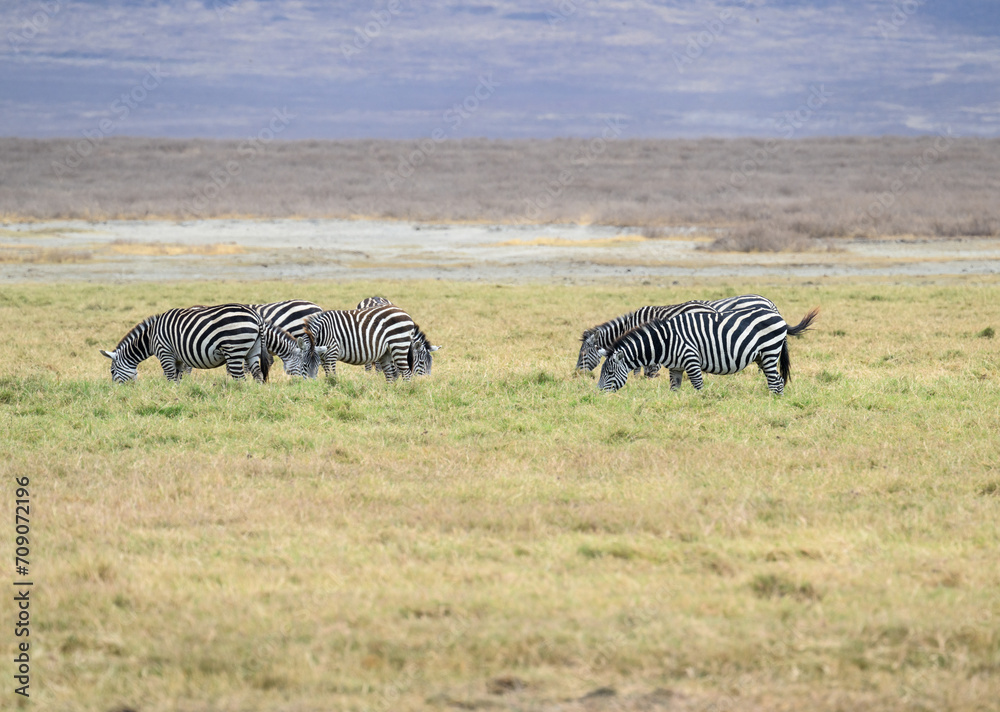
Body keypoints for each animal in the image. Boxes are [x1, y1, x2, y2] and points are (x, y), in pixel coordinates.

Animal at [99, 304, 274, 383]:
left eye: (112, 371)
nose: (117, 392)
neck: (150, 338)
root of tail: (256, 317)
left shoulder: (165, 352)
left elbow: (170, 376)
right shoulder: (178, 358)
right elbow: (178, 376)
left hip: (235, 349)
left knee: (240, 378)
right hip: (253, 350)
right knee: (258, 375)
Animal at [577, 294, 779, 379]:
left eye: (583, 355)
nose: (577, 373)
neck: (629, 324)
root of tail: (768, 301)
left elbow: (641, 364)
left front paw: (641, 377)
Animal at [597, 306, 819, 394]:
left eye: (609, 372)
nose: (597, 395)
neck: (666, 341)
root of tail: (778, 315)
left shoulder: (691, 359)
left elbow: (698, 386)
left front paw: (701, 404)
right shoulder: (675, 367)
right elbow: (674, 389)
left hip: (770, 352)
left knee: (776, 382)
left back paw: (773, 404)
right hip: (762, 357)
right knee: (776, 380)